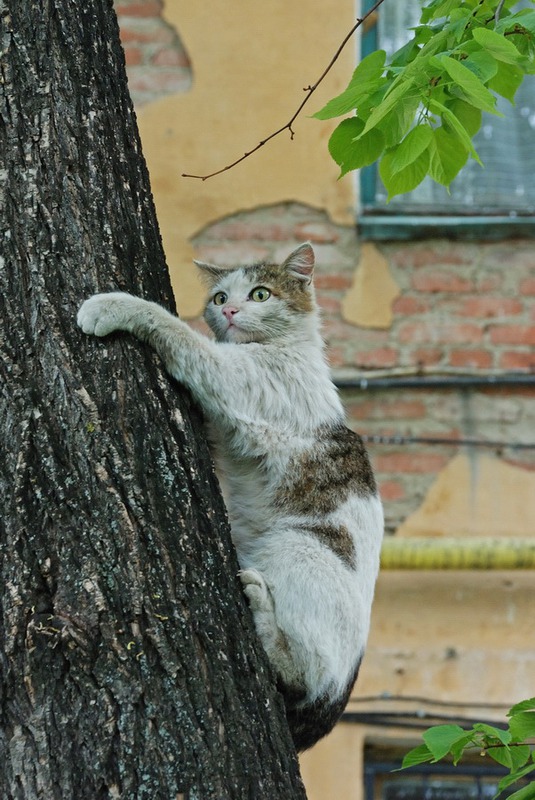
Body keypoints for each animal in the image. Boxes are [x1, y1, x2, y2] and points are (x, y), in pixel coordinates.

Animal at [76, 242, 386, 752]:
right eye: (220, 296)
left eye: (260, 294)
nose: (231, 310)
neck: (283, 350)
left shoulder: (233, 378)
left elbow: (176, 330)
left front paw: (111, 305)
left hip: (297, 547)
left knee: (306, 672)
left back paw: (261, 609)